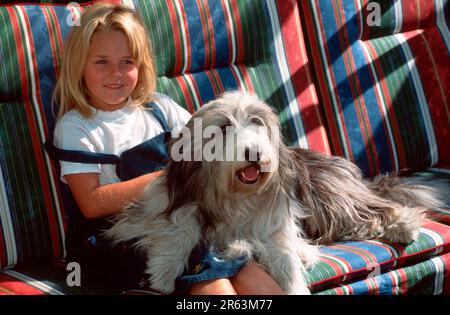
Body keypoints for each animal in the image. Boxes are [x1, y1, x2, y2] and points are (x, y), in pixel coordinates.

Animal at [106, 91, 446, 296]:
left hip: (331, 196)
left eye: (257, 122)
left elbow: (285, 260)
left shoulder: (274, 226)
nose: (254, 153)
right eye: (224, 127)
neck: (234, 195)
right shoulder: (159, 203)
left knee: (377, 207)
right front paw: (163, 271)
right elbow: (179, 223)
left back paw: (401, 224)